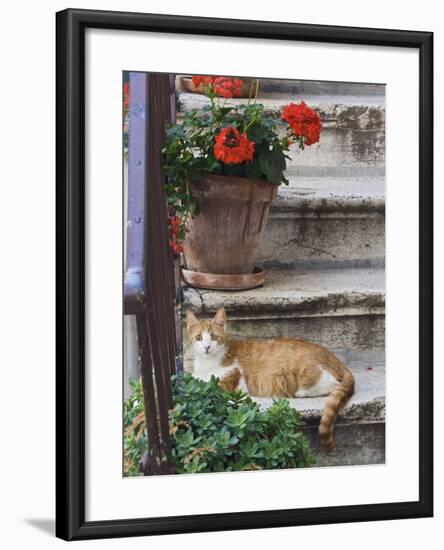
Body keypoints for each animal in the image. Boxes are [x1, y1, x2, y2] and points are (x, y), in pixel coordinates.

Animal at [186, 308, 356, 450]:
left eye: (214, 337)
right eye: (199, 337)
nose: (207, 347)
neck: (206, 364)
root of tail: (336, 360)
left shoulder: (228, 382)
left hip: (306, 372)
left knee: (331, 384)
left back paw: (302, 392)